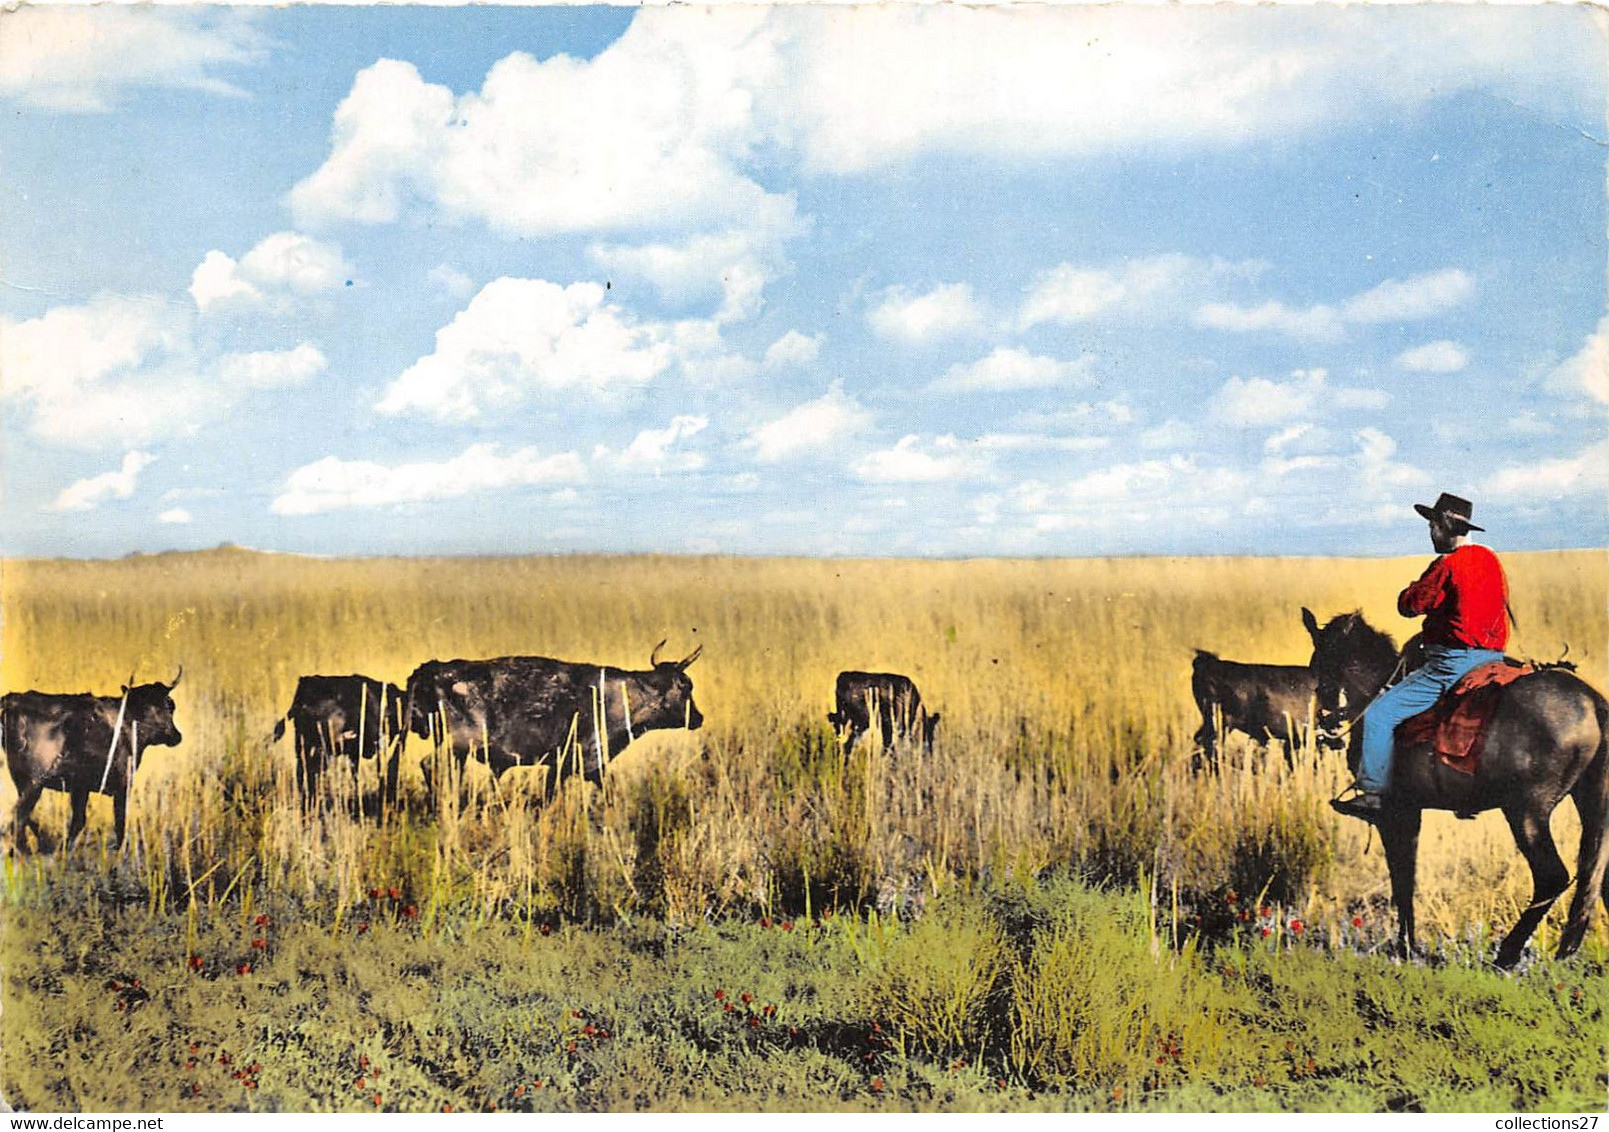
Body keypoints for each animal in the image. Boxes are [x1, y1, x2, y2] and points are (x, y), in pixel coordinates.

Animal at [1, 672, 183, 849]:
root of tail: (13, 701)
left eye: (170, 705)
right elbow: (119, 824)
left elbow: (78, 821)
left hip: (22, 779)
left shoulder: (81, 787)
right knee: (18, 818)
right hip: (34, 782)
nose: (176, 736)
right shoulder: (122, 784)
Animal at [402, 639, 704, 800]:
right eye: (686, 686)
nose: (699, 718)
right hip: (457, 746)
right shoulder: (572, 762)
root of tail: (433, 669)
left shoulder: (580, 768)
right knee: (429, 766)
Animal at [1306, 604, 1609, 971]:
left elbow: (1402, 880)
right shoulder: (1413, 812)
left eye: (1320, 664)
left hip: (1526, 811)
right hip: (1591, 802)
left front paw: (1406, 948)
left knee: (1551, 876)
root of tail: (1593, 703)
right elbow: (1407, 879)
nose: (1327, 725)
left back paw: (1506, 955)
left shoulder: (1395, 812)